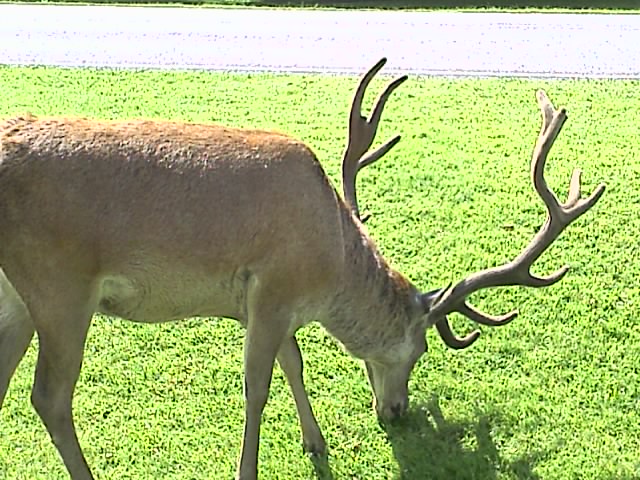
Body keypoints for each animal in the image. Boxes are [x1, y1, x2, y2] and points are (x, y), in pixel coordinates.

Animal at [0, 58, 604, 480]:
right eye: (418, 350)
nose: (397, 412)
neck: (328, 264)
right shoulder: (271, 288)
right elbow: (257, 385)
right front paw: (249, 468)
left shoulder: (265, 304)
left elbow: (295, 362)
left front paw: (315, 442)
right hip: (60, 285)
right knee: (48, 396)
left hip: (17, 296)